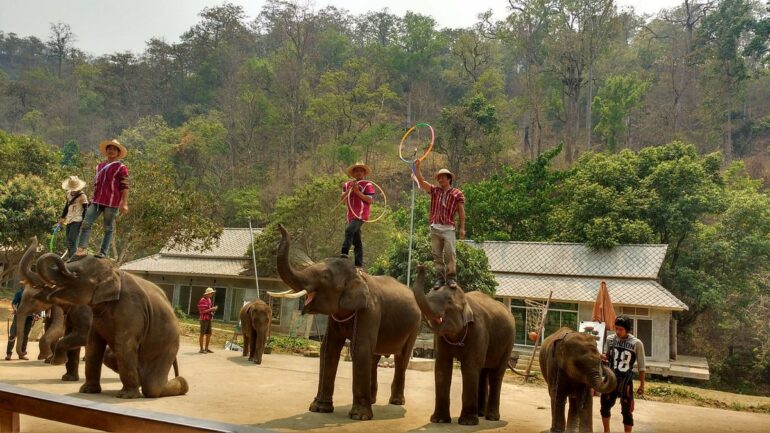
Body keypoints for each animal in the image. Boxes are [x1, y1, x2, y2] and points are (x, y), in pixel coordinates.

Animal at [32, 246, 189, 398]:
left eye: (75, 275)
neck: (115, 272)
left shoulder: (130, 309)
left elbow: (123, 346)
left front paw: (126, 396)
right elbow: (93, 345)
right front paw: (87, 390)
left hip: (168, 345)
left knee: (153, 387)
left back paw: (182, 383)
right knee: (109, 357)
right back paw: (142, 383)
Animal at [276, 223, 420, 418]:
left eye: (325, 277)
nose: (280, 226)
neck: (358, 276)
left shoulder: (370, 311)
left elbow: (359, 348)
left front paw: (359, 416)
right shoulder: (336, 317)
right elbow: (328, 348)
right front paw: (319, 408)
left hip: (415, 326)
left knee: (401, 358)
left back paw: (396, 402)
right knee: (374, 356)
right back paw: (372, 400)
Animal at [412, 264, 512, 424]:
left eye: (449, 302)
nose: (421, 265)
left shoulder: (478, 330)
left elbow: (470, 366)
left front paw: (467, 422)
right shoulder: (441, 338)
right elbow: (442, 367)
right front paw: (439, 420)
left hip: (508, 343)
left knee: (496, 374)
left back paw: (491, 418)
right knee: (483, 372)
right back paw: (480, 414)